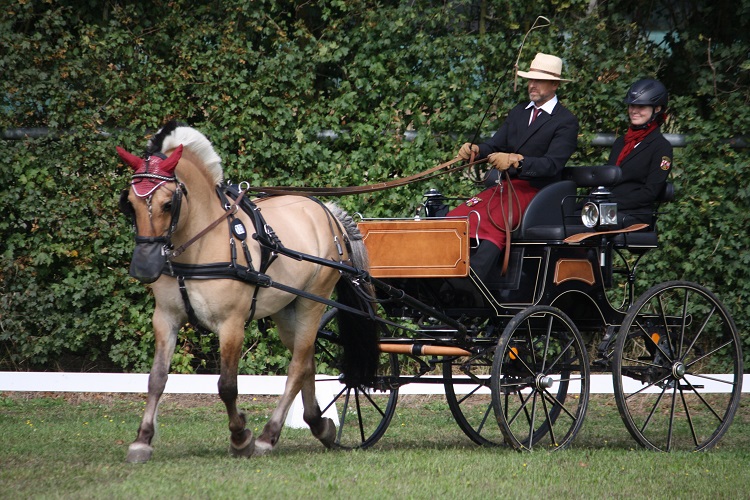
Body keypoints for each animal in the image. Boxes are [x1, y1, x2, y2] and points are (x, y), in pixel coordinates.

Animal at [118, 120, 382, 460]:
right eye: (129, 203)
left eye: (167, 203)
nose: (144, 267)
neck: (201, 242)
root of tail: (328, 213)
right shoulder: (165, 318)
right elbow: (156, 379)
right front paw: (142, 440)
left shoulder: (231, 324)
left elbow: (227, 385)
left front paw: (240, 436)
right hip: (288, 308)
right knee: (307, 360)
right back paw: (317, 424)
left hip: (313, 303)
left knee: (298, 365)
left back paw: (269, 436)